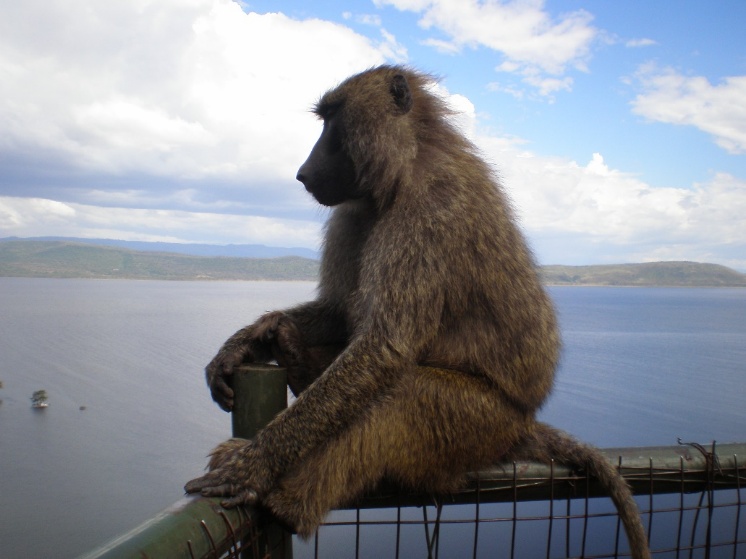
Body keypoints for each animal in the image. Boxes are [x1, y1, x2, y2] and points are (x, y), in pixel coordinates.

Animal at [185, 65, 649, 558]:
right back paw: (291, 350)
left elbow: (384, 348)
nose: (303, 173)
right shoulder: (352, 213)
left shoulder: (430, 213)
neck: (406, 166)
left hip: (481, 424)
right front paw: (250, 338)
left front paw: (254, 465)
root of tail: (523, 423)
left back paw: (287, 501)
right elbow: (341, 313)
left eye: (332, 118)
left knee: (401, 393)